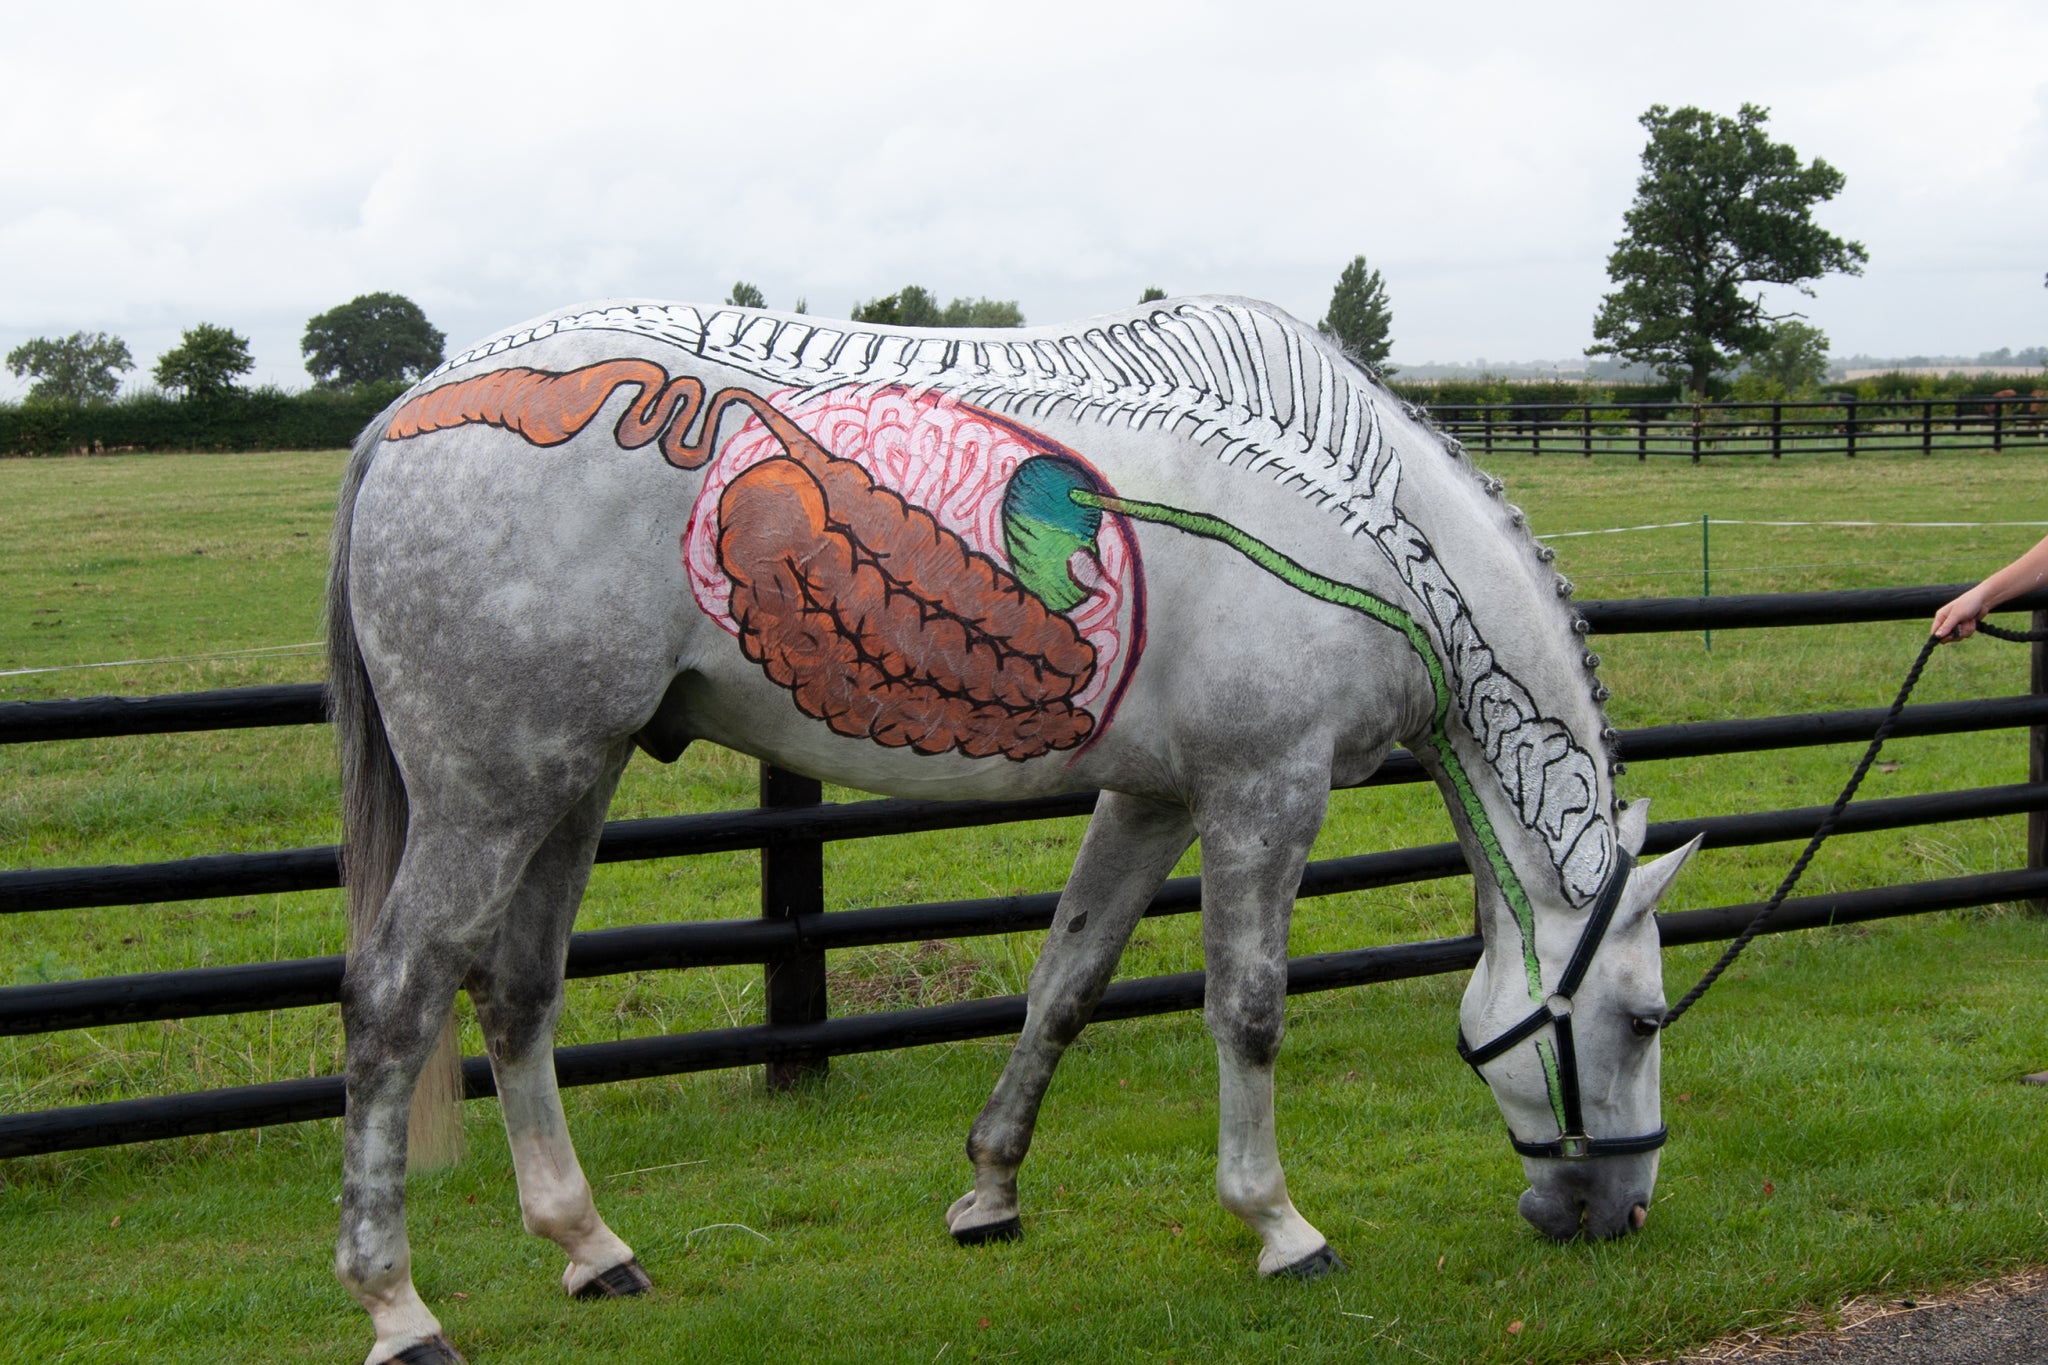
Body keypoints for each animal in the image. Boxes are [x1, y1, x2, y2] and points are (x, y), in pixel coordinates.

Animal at [327, 296, 1698, 1364]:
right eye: (1641, 1019)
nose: (1621, 1213)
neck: (1366, 530)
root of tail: (407, 415)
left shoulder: (1151, 797)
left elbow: (1064, 981)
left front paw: (990, 1187)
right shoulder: (1264, 787)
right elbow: (1248, 1009)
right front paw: (1276, 1225)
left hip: (572, 778)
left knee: (515, 992)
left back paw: (587, 1245)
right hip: (489, 793)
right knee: (395, 1000)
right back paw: (397, 1307)